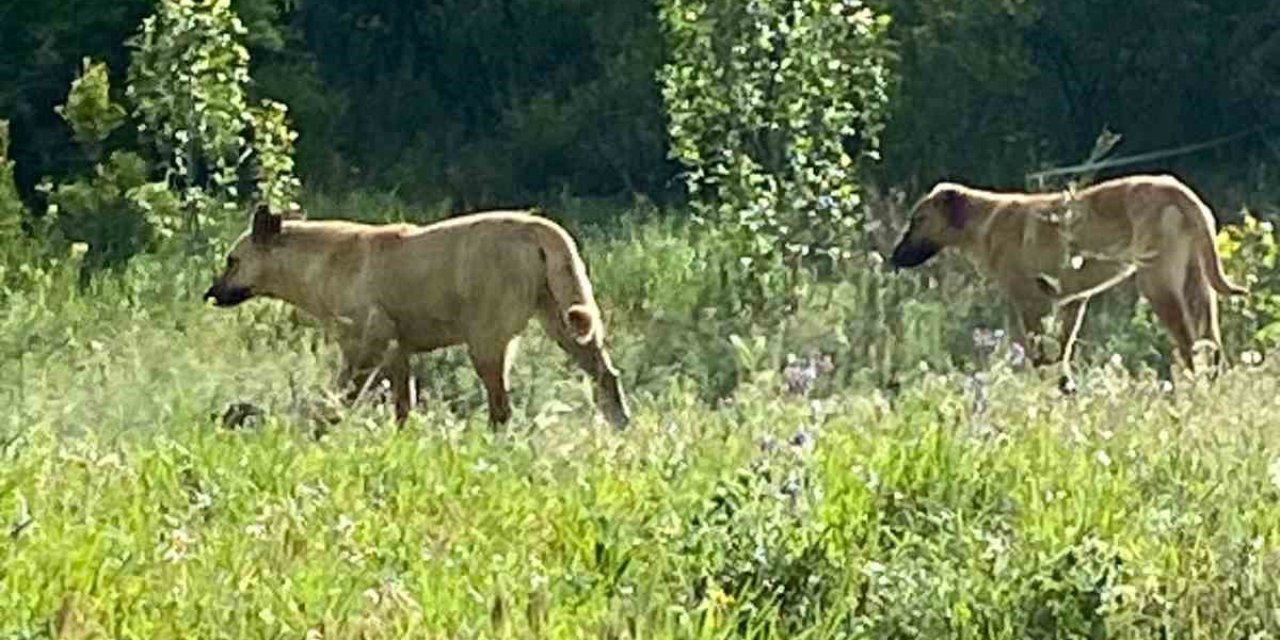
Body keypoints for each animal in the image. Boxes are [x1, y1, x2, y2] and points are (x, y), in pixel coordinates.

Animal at [200, 204, 634, 427]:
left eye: (232, 260)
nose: (210, 294)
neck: (320, 264)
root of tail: (539, 229)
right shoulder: (397, 352)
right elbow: (402, 406)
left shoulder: (365, 344)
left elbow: (340, 395)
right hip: (565, 323)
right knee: (606, 376)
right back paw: (620, 424)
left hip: (486, 340)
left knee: (501, 406)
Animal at [896, 174, 1244, 384]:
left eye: (917, 220)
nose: (893, 257)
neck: (983, 220)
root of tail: (1181, 192)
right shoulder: (1072, 303)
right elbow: (1060, 356)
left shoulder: (1030, 304)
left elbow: (1039, 357)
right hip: (1198, 289)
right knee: (1211, 346)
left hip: (1159, 287)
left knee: (1189, 348)